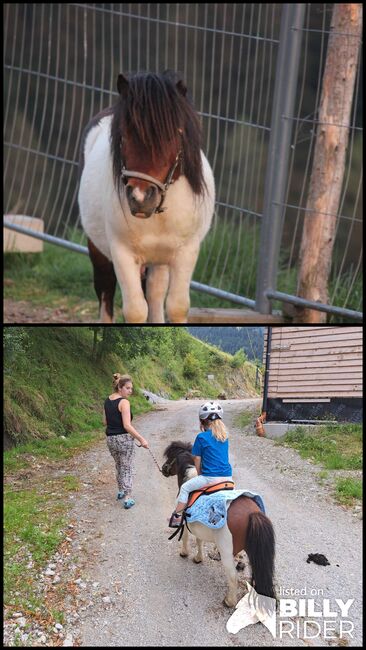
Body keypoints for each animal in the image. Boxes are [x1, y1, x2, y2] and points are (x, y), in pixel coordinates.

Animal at [77, 69, 214, 322]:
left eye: (174, 135)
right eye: (123, 136)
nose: (140, 198)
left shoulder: (185, 253)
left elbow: (176, 306)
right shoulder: (122, 253)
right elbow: (135, 310)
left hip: (159, 260)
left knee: (155, 293)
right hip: (99, 249)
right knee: (106, 290)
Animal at [162, 440, 274, 608]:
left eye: (170, 457)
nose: (163, 468)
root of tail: (252, 513)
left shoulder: (185, 522)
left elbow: (187, 538)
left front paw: (184, 553)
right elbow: (199, 541)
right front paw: (198, 558)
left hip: (227, 551)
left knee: (233, 576)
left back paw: (229, 601)